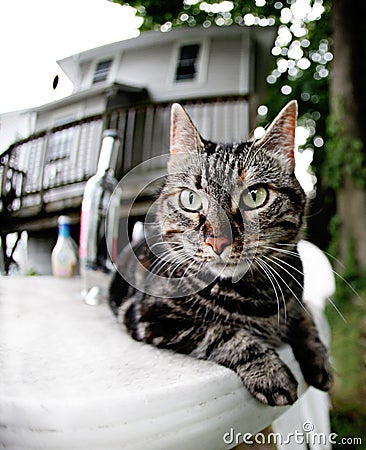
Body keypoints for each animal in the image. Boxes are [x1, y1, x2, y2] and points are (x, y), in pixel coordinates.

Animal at [108, 101, 332, 404]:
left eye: (255, 195)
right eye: (191, 199)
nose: (218, 241)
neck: (253, 295)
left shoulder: (298, 300)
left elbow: (306, 319)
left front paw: (319, 357)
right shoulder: (151, 317)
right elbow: (222, 333)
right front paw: (270, 373)